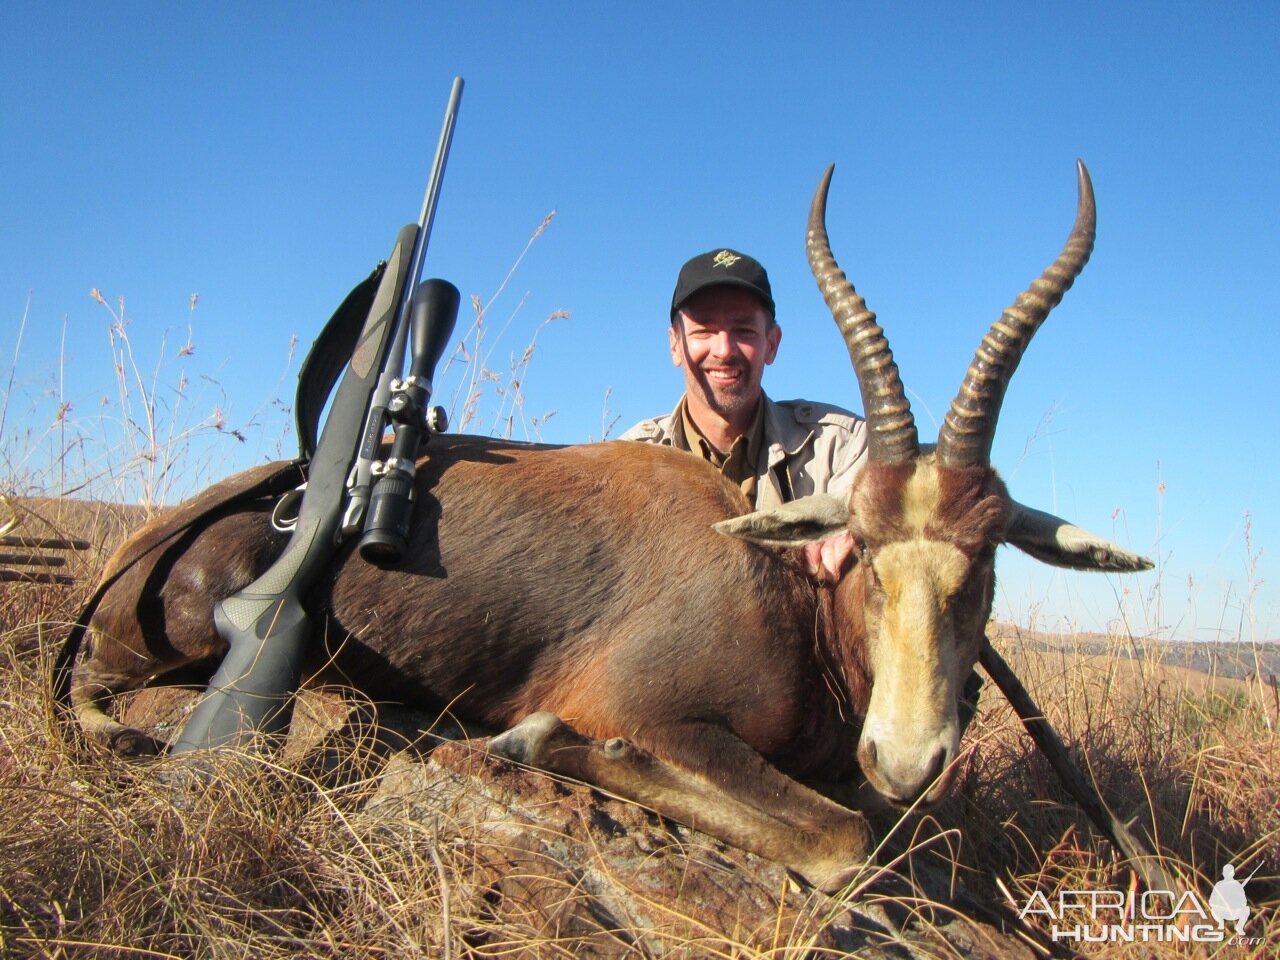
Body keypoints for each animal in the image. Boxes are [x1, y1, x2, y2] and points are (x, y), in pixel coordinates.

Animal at [72, 161, 1152, 890]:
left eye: (985, 558)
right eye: (864, 554)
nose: (904, 759)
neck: (781, 597)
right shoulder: (648, 709)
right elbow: (844, 842)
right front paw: (532, 741)